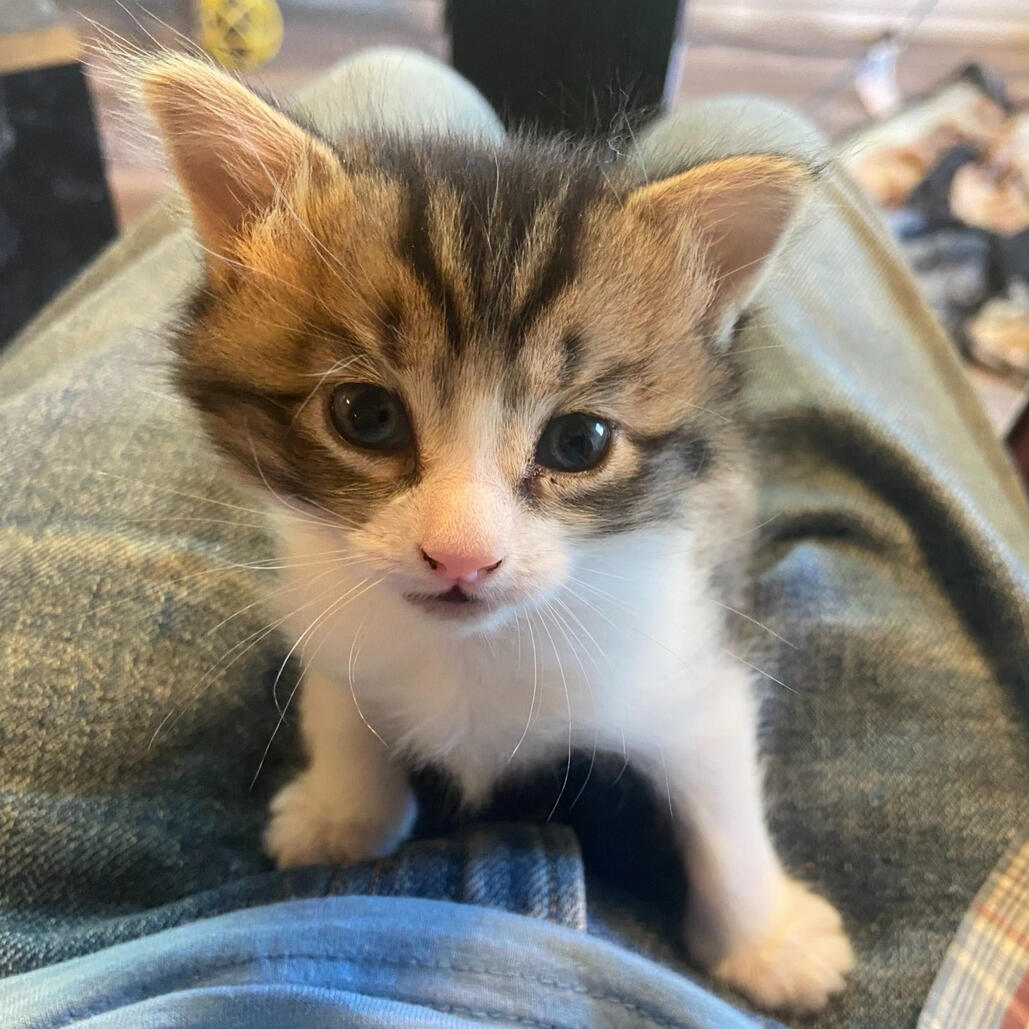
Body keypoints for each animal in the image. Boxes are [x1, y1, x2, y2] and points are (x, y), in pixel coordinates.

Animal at [142, 54, 853, 1013]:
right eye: (364, 415)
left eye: (578, 442)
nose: (461, 555)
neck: (471, 653)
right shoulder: (324, 582)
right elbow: (341, 692)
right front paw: (342, 810)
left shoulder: (688, 643)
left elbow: (720, 794)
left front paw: (766, 937)